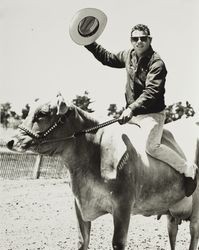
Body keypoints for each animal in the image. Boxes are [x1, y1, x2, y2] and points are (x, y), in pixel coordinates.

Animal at [7, 94, 199, 250]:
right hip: (172, 211)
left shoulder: (123, 204)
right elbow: (82, 240)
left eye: (43, 113)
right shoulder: (79, 204)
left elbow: (118, 242)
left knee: (194, 234)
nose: (10, 141)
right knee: (172, 232)